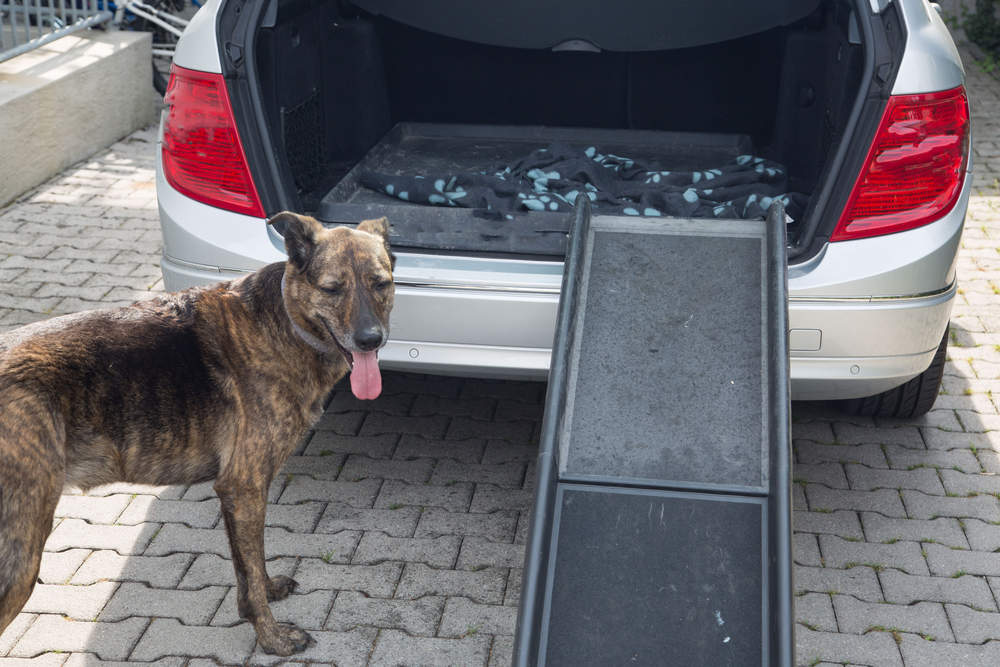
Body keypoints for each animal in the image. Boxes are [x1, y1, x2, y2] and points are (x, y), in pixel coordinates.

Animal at [0, 211, 396, 656]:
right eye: (332, 289)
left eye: (381, 283)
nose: (371, 340)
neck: (285, 321)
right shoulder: (244, 487)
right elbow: (250, 571)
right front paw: (272, 638)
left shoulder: (240, 494)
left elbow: (251, 566)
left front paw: (267, 591)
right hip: (21, 551)